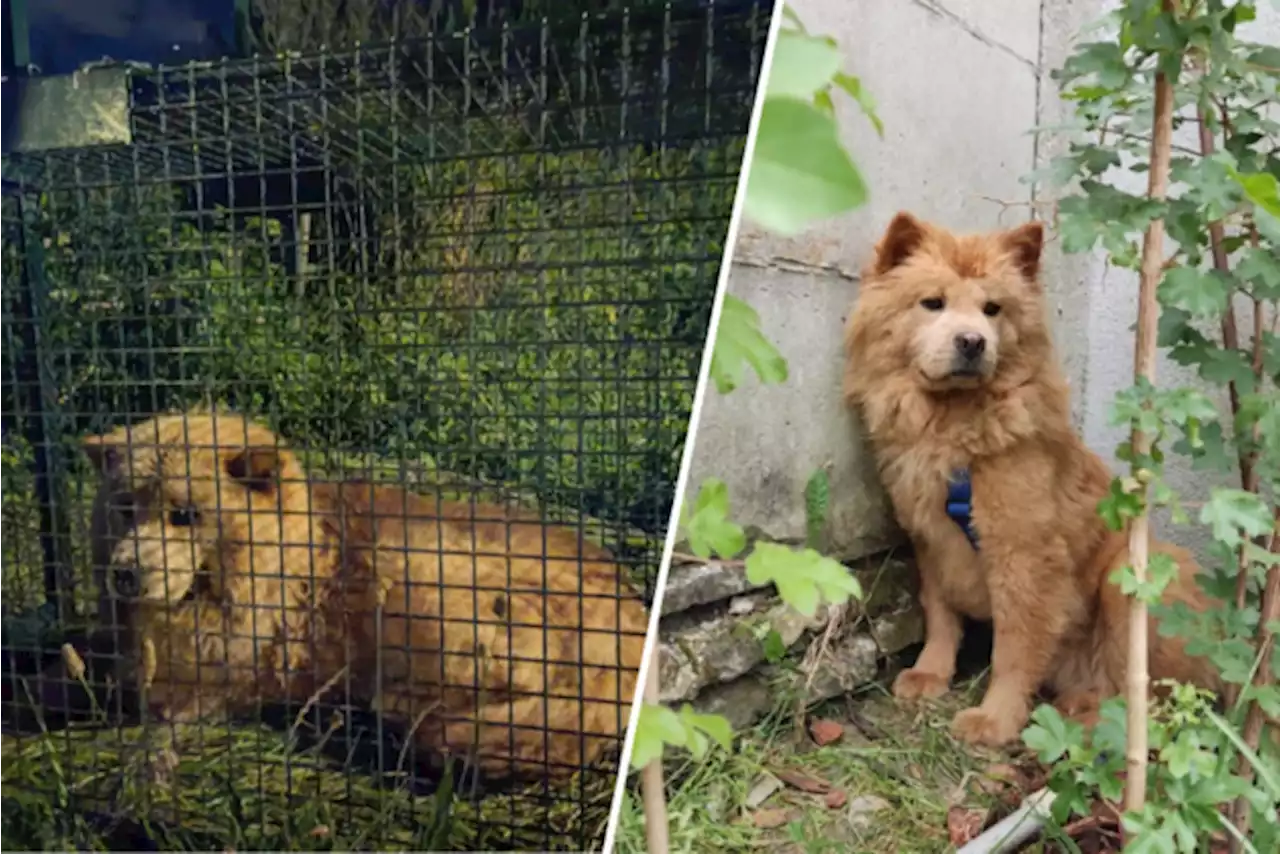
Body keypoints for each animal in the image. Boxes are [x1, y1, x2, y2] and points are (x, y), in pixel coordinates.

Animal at [74, 409, 650, 783]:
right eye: (125, 508)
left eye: (185, 514)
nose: (124, 574)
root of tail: (628, 616)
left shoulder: (232, 674)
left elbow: (165, 709)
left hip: (412, 568)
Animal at [844, 213, 1213, 747]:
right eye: (932, 303)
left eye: (992, 309)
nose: (972, 342)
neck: (955, 427)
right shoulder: (930, 539)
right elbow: (940, 615)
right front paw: (931, 673)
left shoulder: (1024, 556)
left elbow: (1014, 652)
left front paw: (994, 719)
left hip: (1129, 579)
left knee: (1158, 708)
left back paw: (1084, 723)